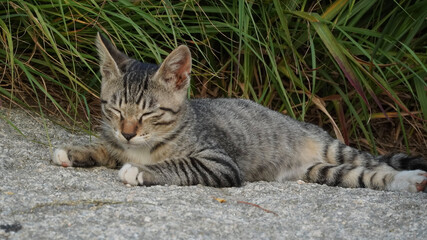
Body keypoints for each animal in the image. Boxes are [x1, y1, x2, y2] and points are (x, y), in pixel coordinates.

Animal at [51, 32, 426, 192]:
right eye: (115, 109)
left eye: (149, 114)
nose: (128, 132)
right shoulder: (118, 141)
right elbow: (108, 148)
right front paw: (77, 150)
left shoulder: (219, 163)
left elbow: (178, 164)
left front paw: (140, 171)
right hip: (319, 172)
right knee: (364, 175)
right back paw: (408, 182)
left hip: (334, 148)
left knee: (378, 164)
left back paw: (412, 177)